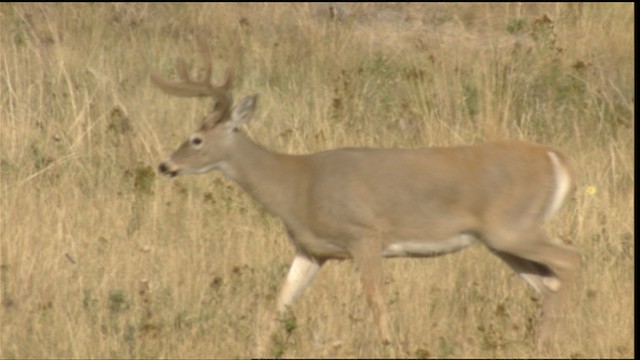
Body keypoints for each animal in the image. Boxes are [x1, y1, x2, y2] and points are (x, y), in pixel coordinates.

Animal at [151, 39, 580, 352]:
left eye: (196, 139)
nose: (164, 165)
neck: (296, 187)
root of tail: (555, 158)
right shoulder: (311, 250)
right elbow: (280, 302)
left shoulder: (364, 234)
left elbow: (376, 302)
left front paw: (391, 347)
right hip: (500, 240)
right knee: (549, 284)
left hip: (512, 225)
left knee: (568, 260)